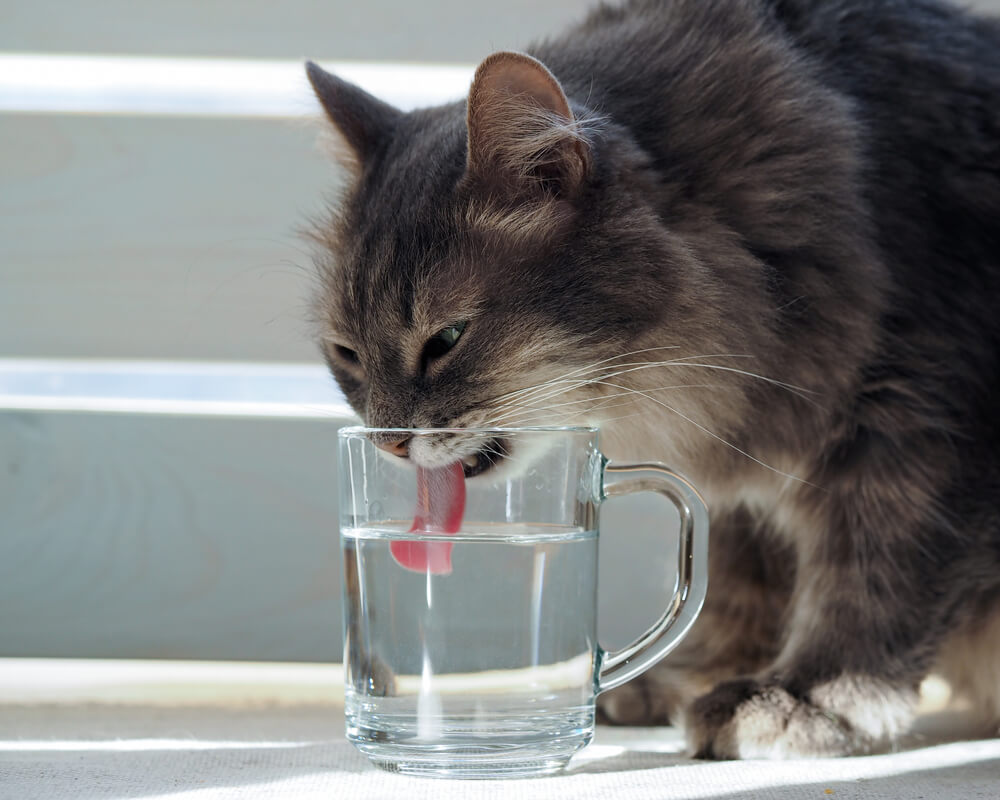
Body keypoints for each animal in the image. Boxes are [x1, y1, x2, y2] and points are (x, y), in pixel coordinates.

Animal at [302, 0, 1000, 760]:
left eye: (446, 341)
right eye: (346, 354)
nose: (387, 443)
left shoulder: (915, 432)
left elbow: (868, 584)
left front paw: (808, 697)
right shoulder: (746, 481)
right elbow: (737, 588)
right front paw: (698, 676)